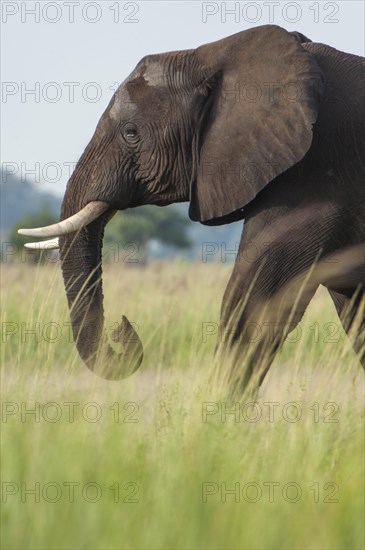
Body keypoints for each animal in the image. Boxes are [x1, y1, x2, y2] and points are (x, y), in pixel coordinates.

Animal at [19, 25, 364, 394]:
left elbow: (253, 300)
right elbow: (354, 310)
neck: (217, 56)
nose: (122, 330)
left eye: (131, 133)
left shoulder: (315, 171)